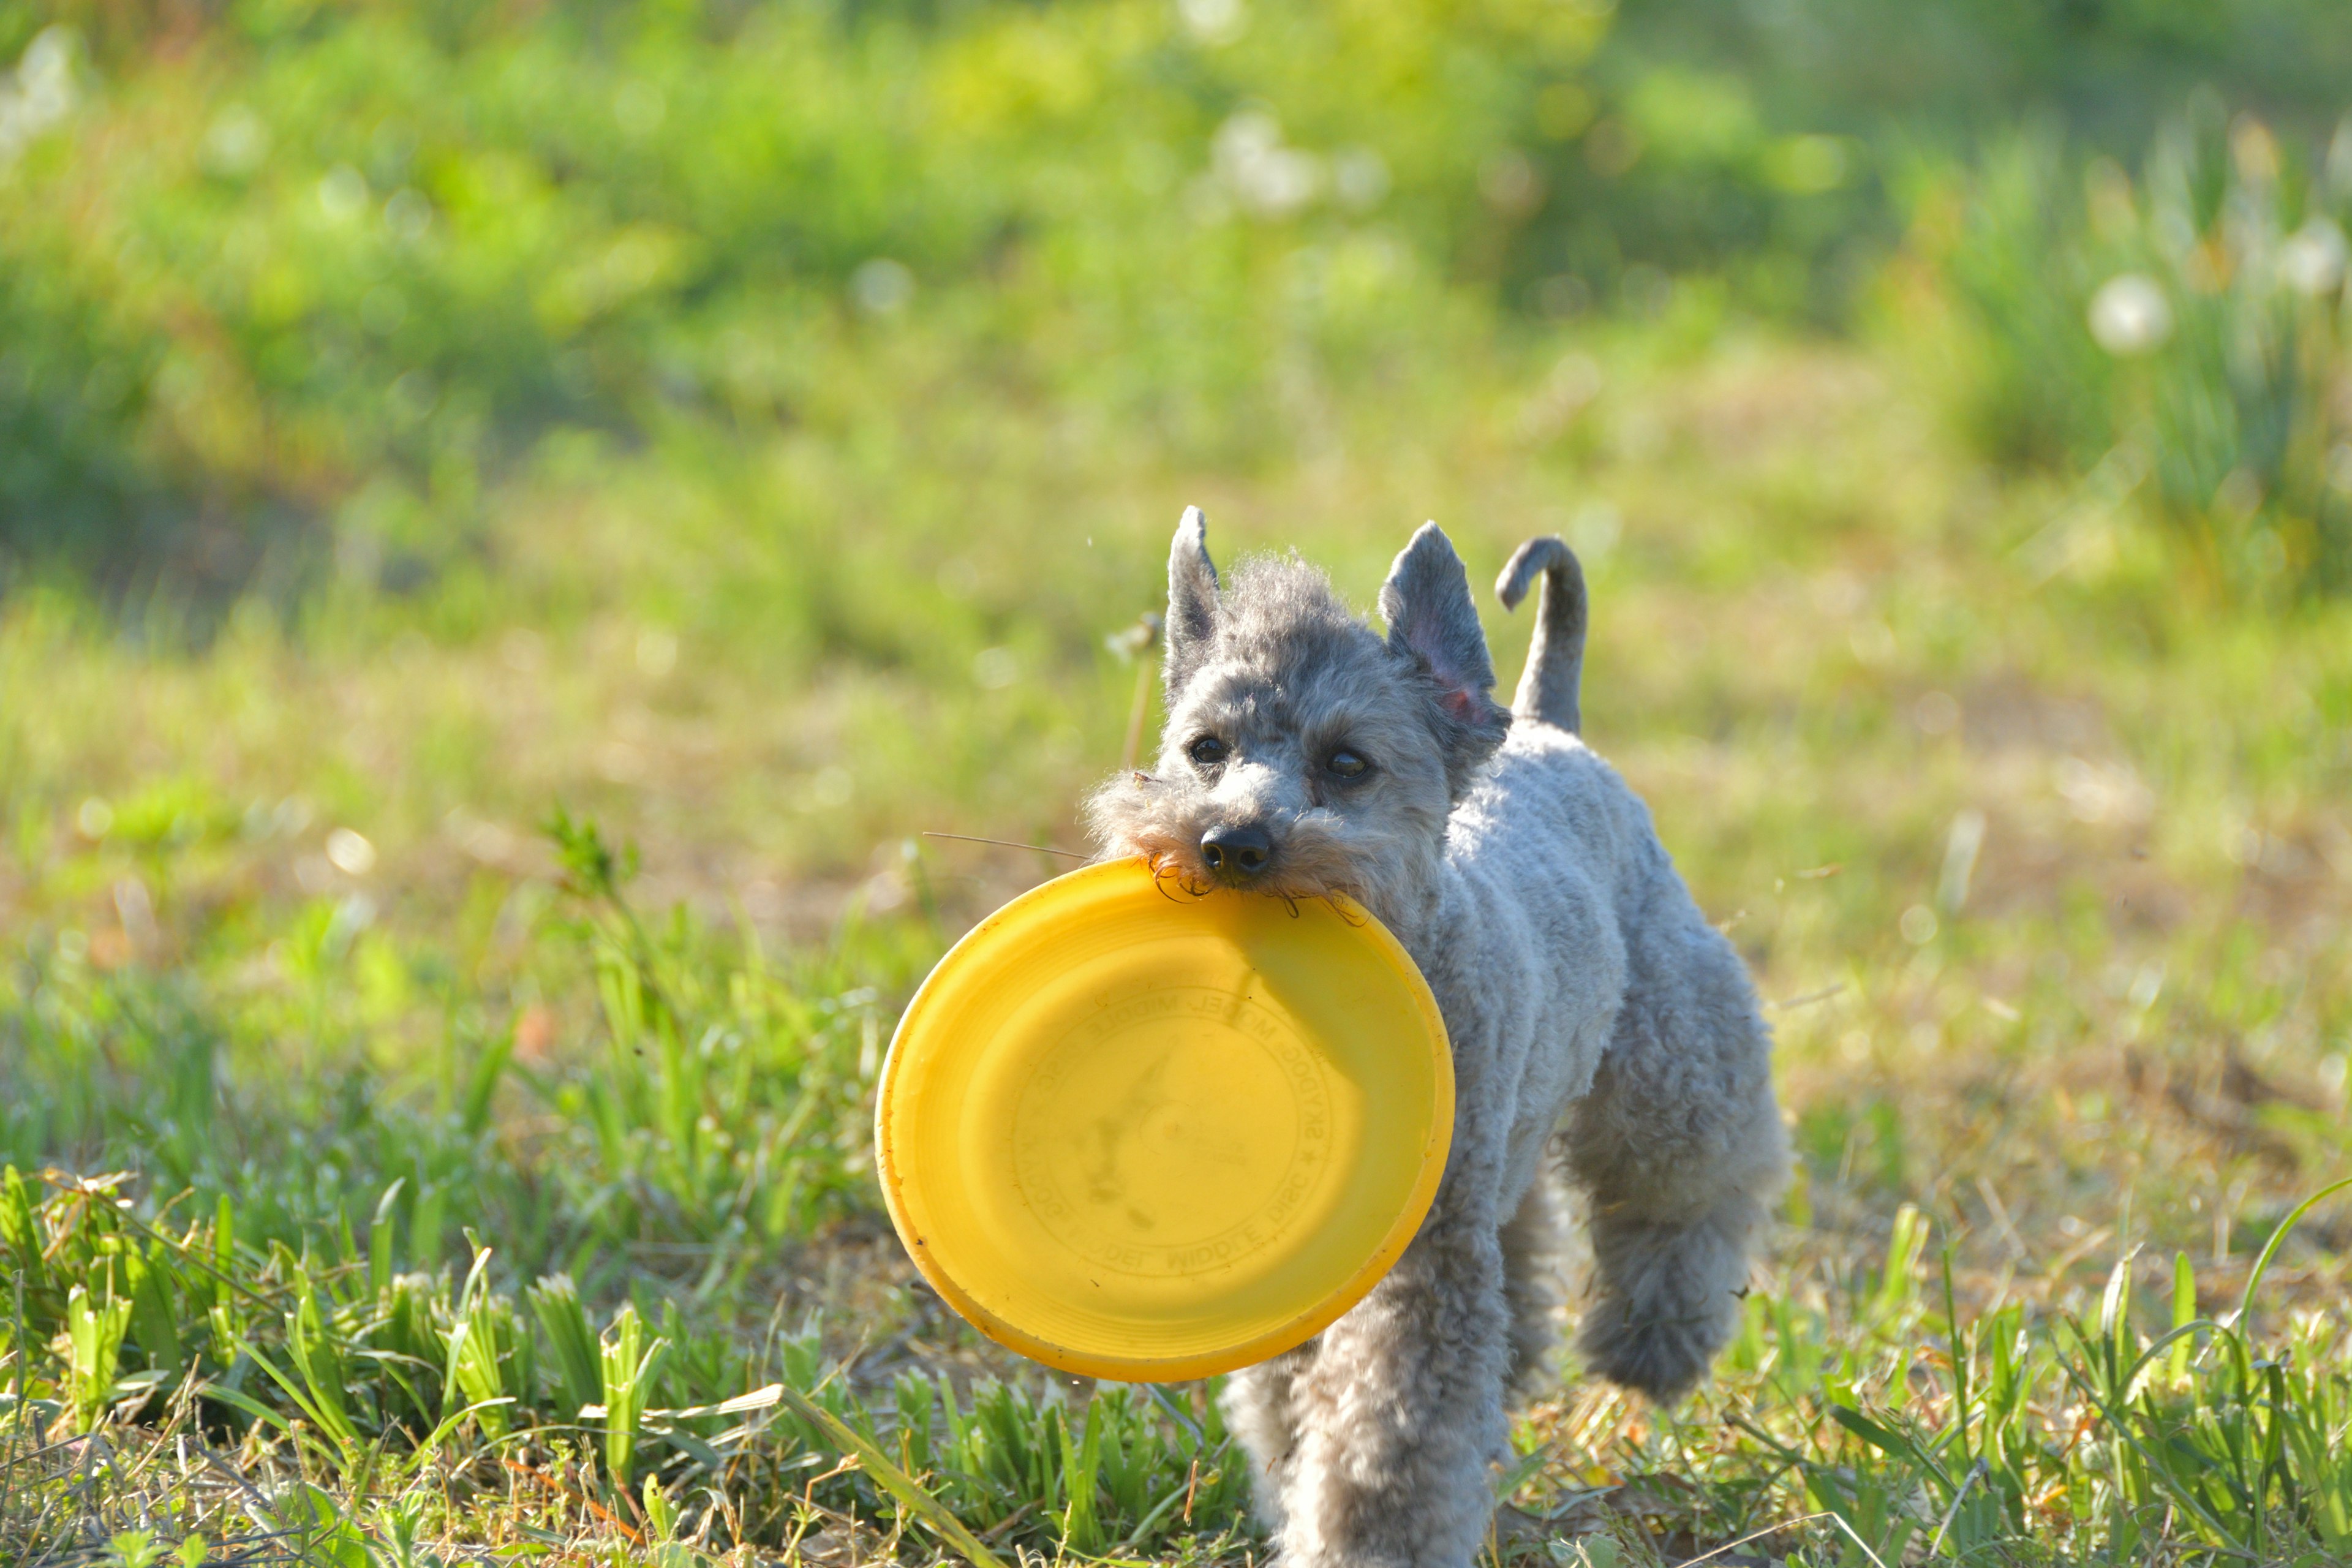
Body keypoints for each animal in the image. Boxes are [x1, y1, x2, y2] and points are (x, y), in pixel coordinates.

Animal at [1082, 510, 1778, 1568]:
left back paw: (1652, 1348)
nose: (1230, 843)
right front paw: (1291, 1487)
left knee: (1689, 1195)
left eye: (1349, 763)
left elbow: (1389, 1435)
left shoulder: (1421, 1266)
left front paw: (1365, 1541)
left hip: (1671, 1065)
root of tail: (1546, 721)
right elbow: (1291, 1400)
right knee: (1528, 1241)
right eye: (1205, 748)